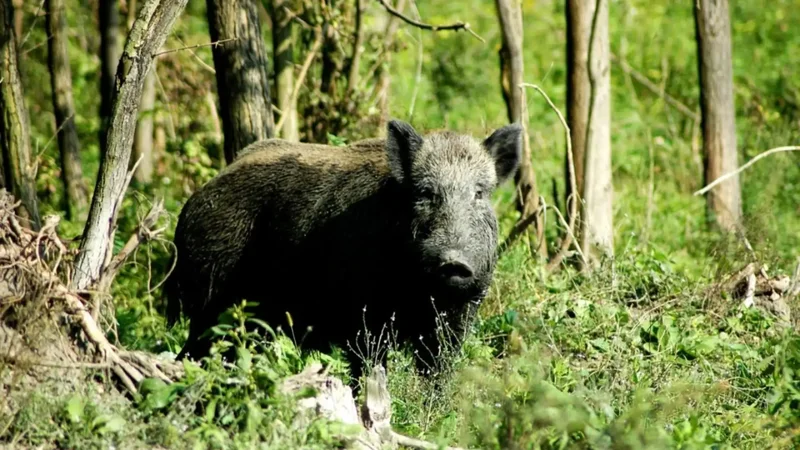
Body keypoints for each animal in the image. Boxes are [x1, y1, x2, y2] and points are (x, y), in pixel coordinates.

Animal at [164, 119, 522, 379]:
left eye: (479, 193)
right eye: (425, 193)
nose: (453, 262)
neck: (419, 291)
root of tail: (191, 204)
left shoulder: (460, 314)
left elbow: (438, 371)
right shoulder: (364, 316)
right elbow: (368, 367)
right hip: (210, 296)